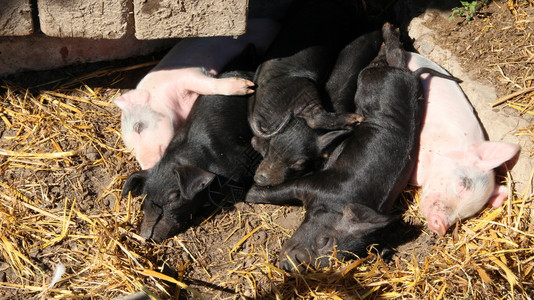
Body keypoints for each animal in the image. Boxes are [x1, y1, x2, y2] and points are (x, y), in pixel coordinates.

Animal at [113, 18, 280, 169]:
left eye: (138, 127)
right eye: (131, 149)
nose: (147, 166)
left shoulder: (187, 74)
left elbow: (205, 84)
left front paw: (247, 87)